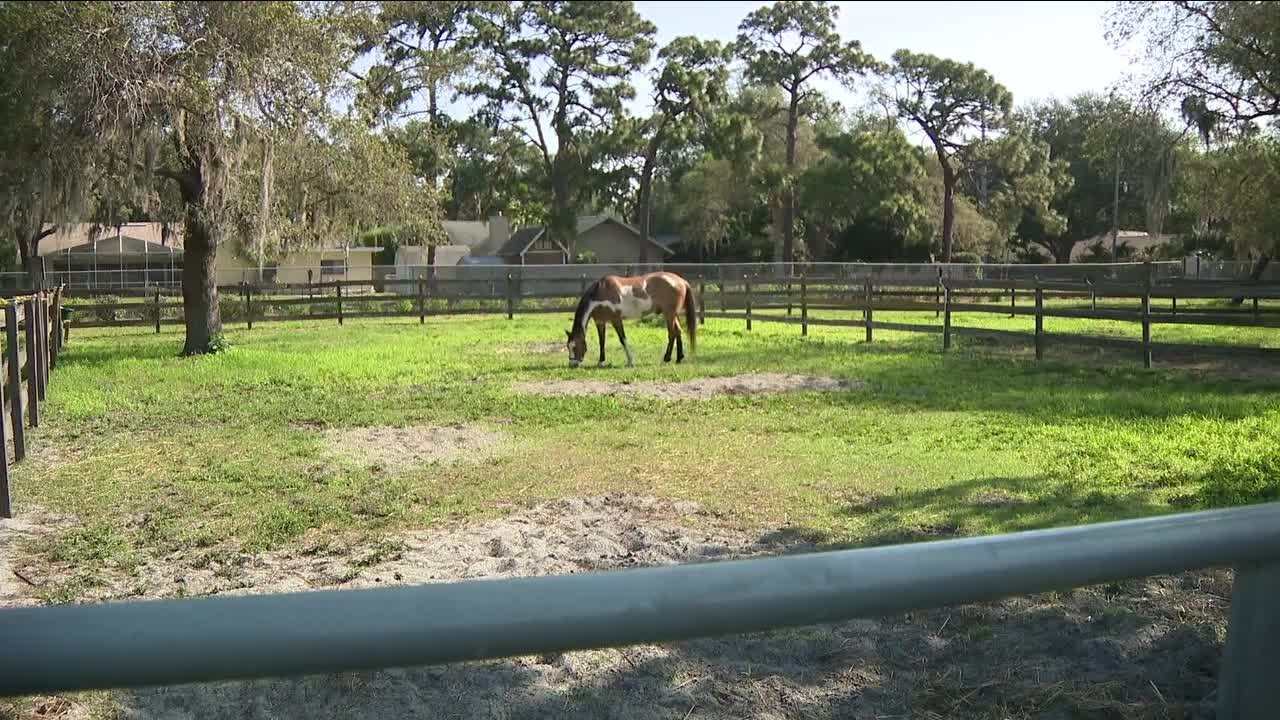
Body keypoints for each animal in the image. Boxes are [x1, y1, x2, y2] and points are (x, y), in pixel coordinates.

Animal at [563, 271, 696, 366]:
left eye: (575, 346)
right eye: (568, 346)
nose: (572, 364)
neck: (601, 293)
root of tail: (681, 281)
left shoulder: (616, 319)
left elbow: (623, 339)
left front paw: (630, 361)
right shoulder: (600, 322)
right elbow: (602, 341)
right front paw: (601, 362)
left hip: (669, 313)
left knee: (672, 333)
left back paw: (666, 359)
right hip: (672, 314)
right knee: (678, 331)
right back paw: (679, 358)